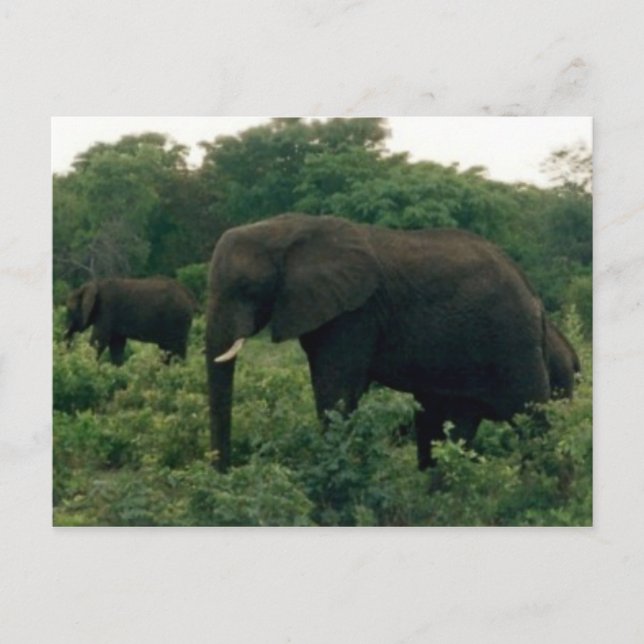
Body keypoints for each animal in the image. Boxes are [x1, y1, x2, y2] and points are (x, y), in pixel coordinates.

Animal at [65, 277, 196, 365]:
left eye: (69, 310)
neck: (94, 285)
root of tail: (189, 295)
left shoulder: (106, 311)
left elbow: (98, 341)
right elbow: (116, 345)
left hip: (176, 321)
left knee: (174, 349)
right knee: (168, 349)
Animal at [206, 213, 553, 472]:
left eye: (247, 288)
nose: (226, 473)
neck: (285, 229)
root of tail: (531, 290)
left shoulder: (356, 313)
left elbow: (336, 391)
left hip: (511, 340)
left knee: (533, 421)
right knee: (454, 427)